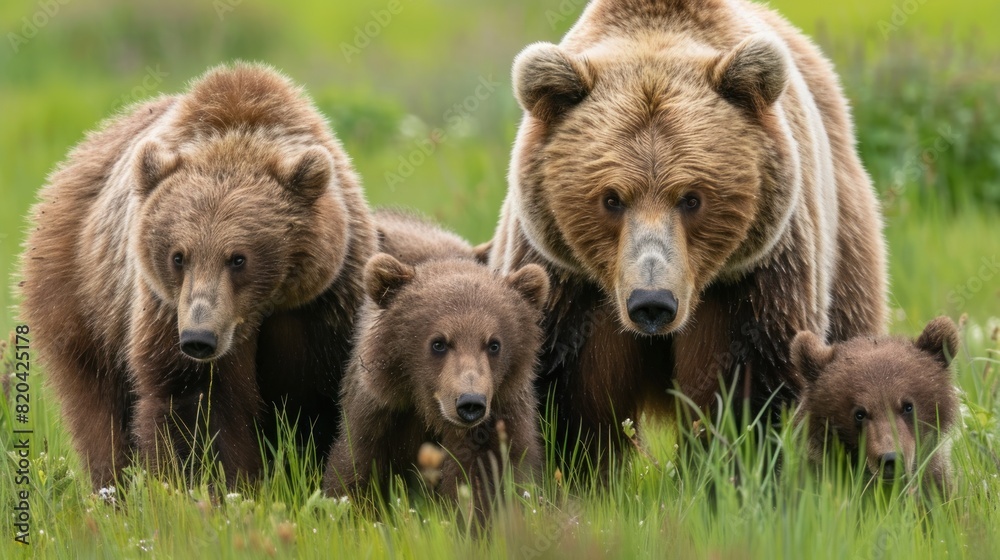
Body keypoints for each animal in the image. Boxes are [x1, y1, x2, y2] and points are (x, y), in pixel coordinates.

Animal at [18, 63, 377, 487]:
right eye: (178, 256)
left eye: (238, 258)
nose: (198, 338)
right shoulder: (163, 307)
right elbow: (197, 401)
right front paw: (212, 483)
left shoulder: (322, 302)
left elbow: (315, 398)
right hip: (83, 298)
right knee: (98, 409)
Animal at [323, 253, 549, 521]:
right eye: (439, 343)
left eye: (494, 344)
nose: (470, 402)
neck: (431, 415)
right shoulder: (380, 417)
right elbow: (355, 471)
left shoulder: (498, 428)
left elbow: (481, 486)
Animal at [487, 0, 887, 462]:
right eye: (612, 198)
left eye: (692, 198)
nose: (652, 302)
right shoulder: (567, 285)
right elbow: (566, 401)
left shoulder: (753, 281)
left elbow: (749, 392)